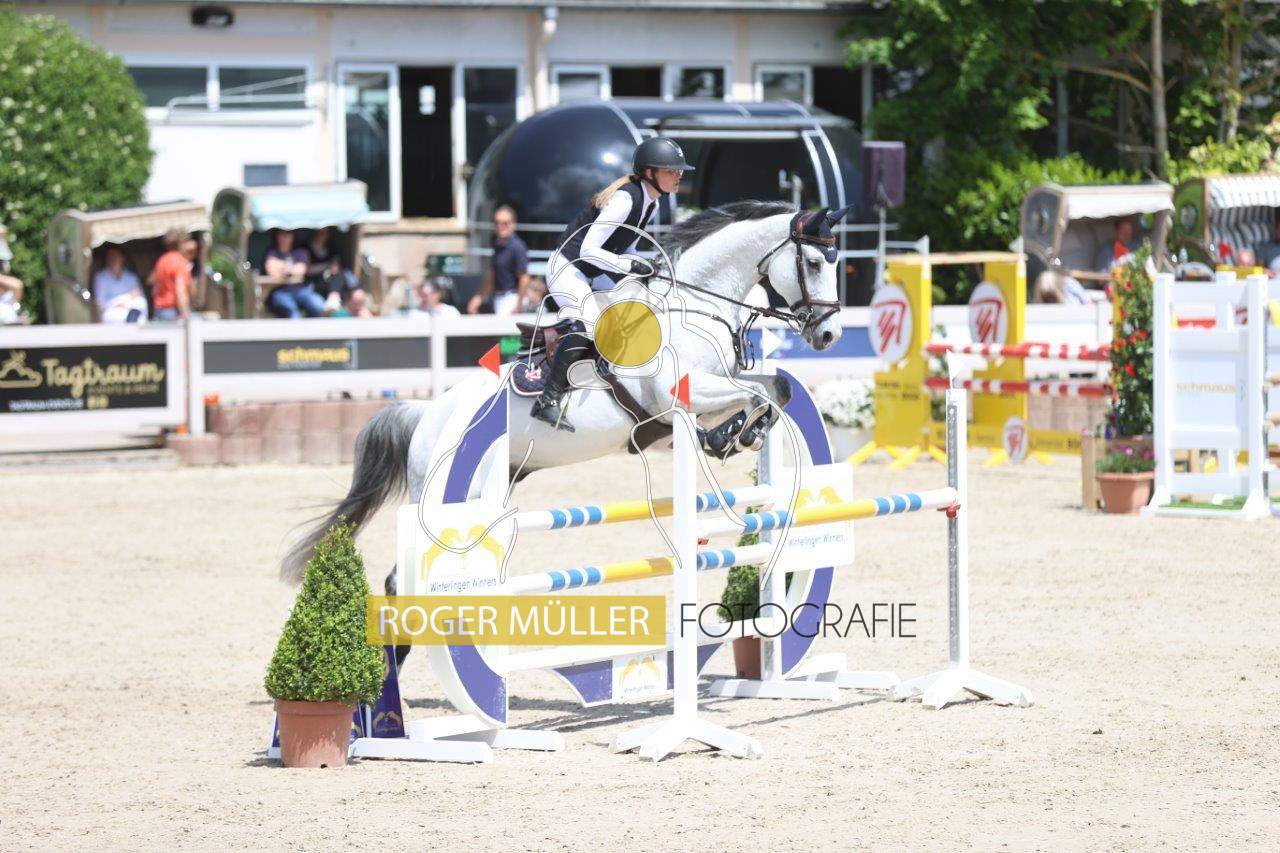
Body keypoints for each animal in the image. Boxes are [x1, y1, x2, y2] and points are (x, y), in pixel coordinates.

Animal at [281, 200, 852, 584]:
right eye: (815, 263)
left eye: (836, 262)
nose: (828, 335)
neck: (695, 306)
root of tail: (427, 414)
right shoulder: (677, 396)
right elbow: (760, 394)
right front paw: (733, 433)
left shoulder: (707, 394)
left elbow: (773, 388)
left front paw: (737, 434)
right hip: (445, 496)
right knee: (403, 582)